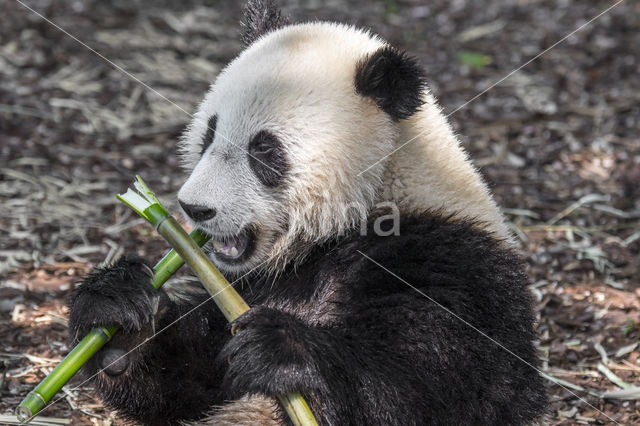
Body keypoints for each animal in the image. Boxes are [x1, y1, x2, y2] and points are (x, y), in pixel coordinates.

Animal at [71, 1, 552, 424]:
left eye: (264, 151)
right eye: (208, 135)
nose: (195, 207)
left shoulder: (450, 257)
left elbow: (454, 383)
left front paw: (279, 349)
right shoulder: (252, 284)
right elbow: (190, 382)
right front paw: (119, 315)